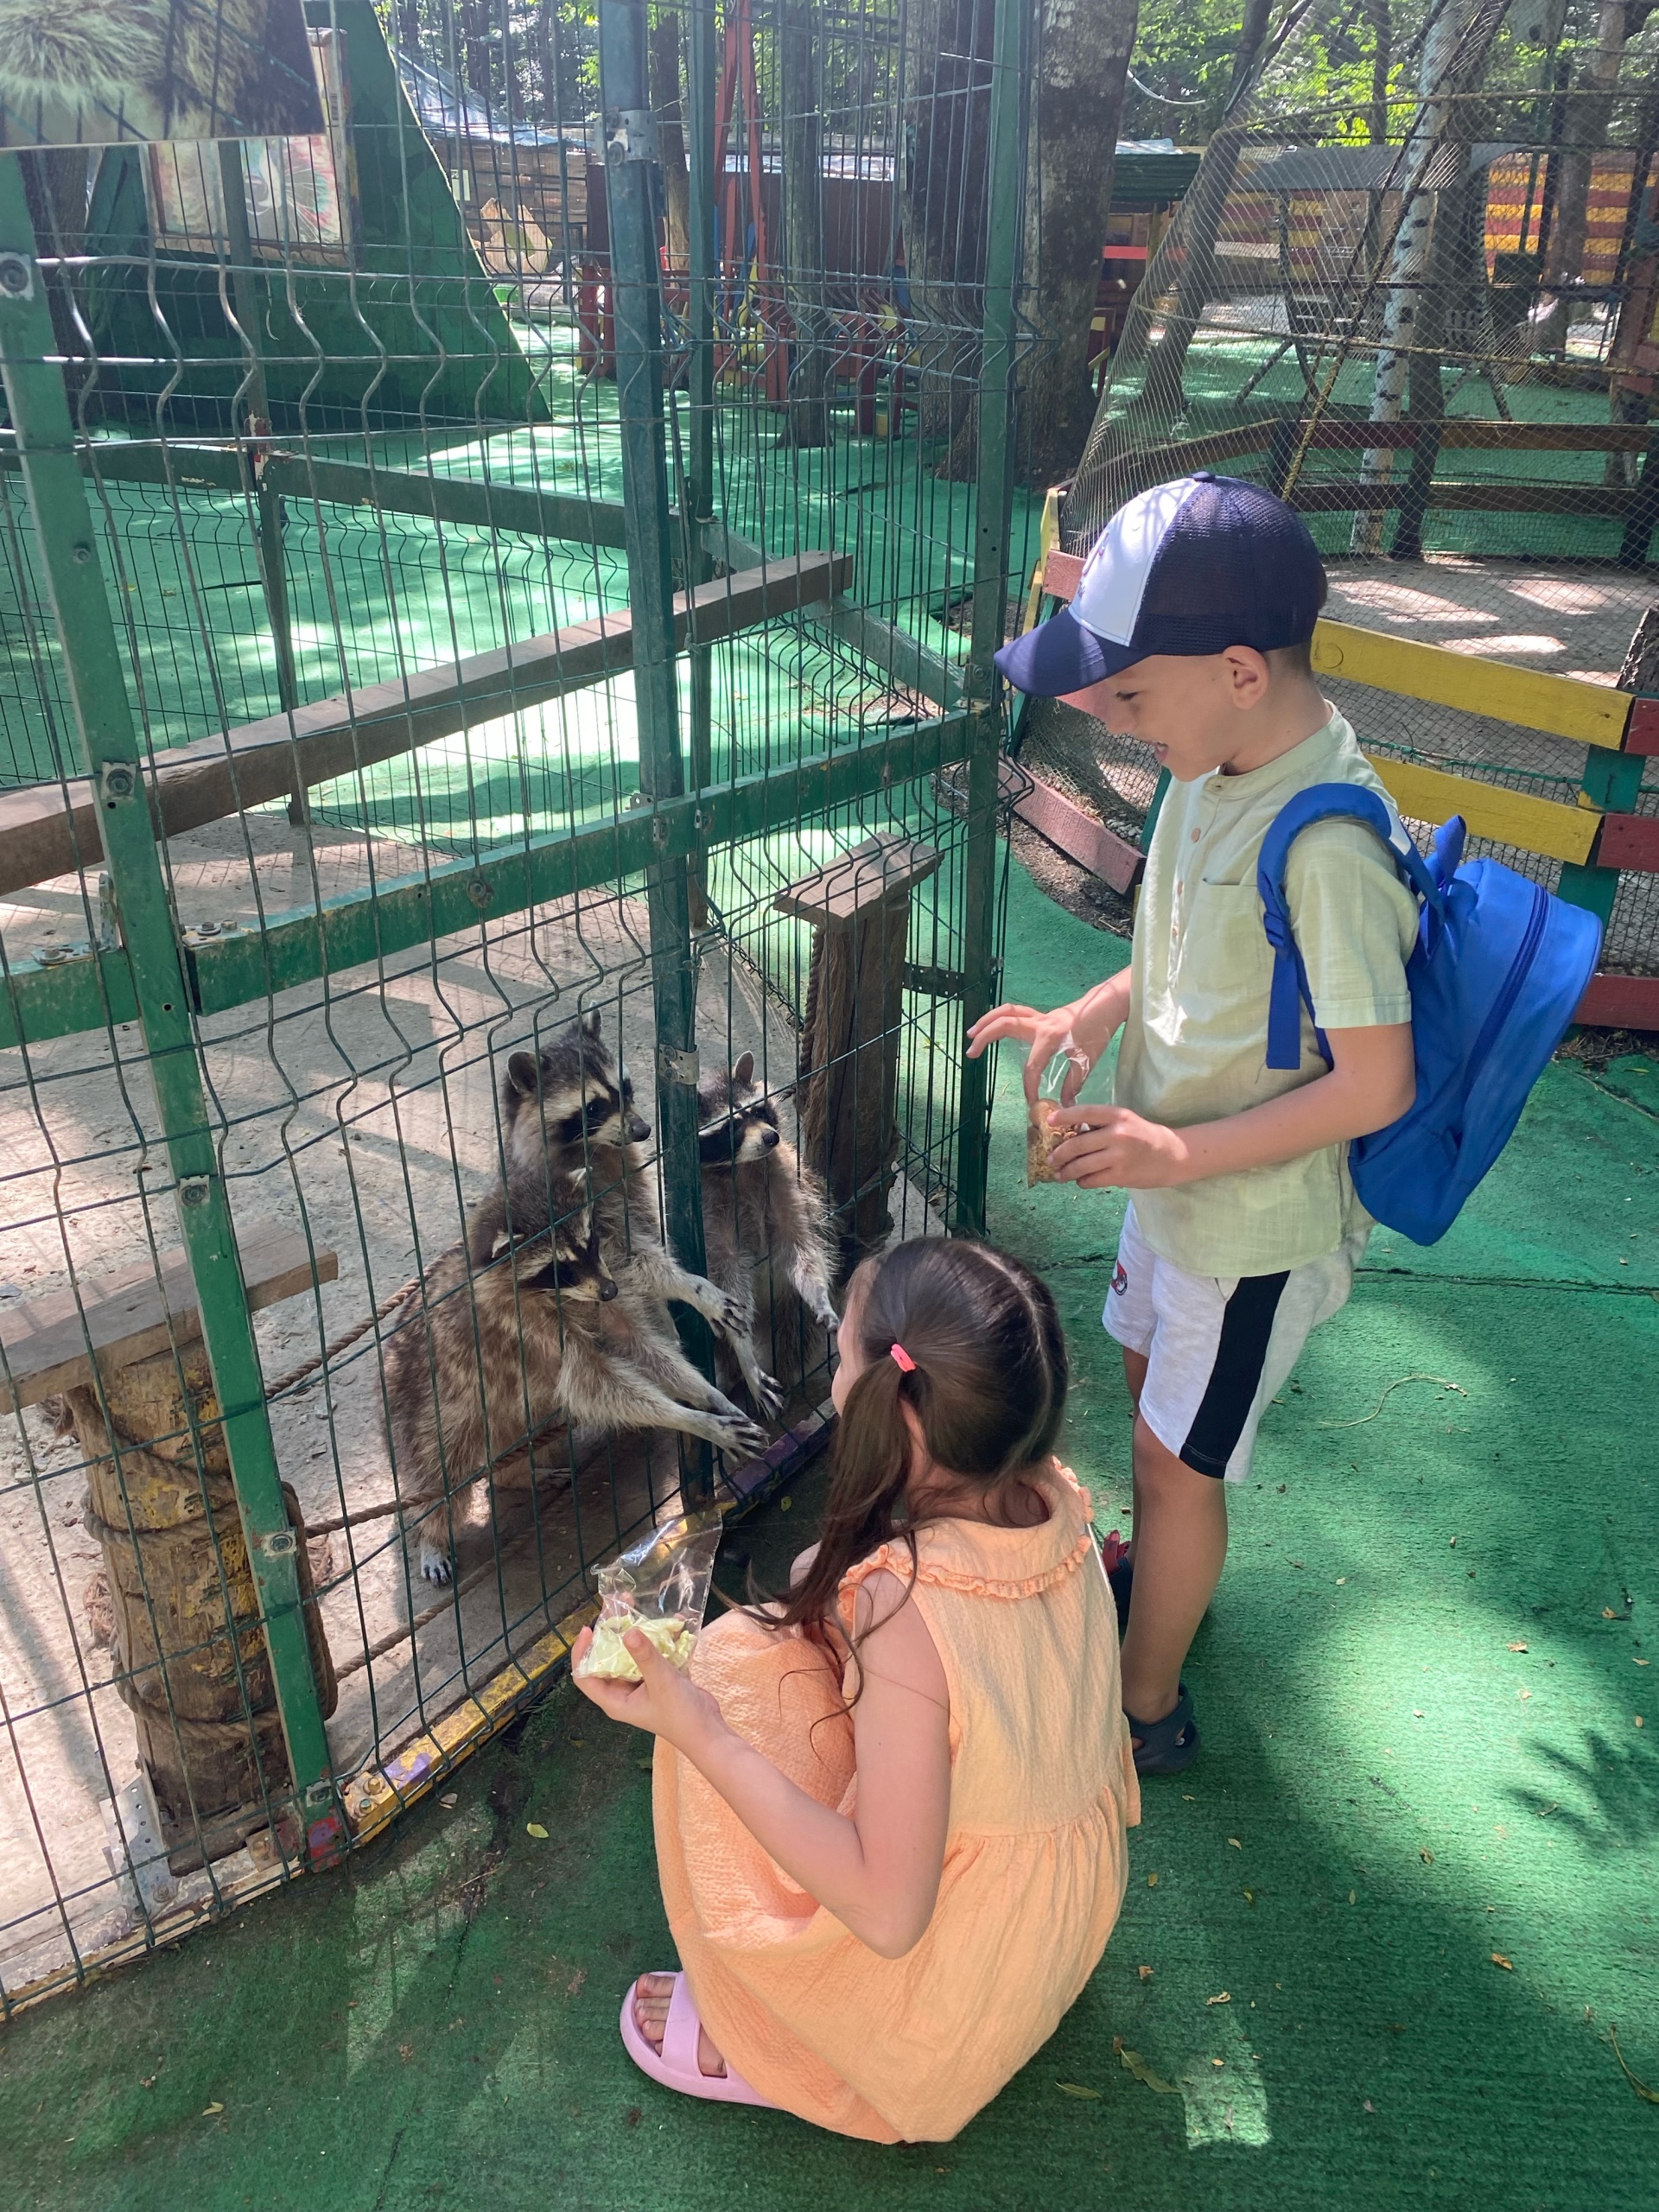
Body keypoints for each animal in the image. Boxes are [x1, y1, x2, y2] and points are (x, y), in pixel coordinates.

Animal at [391, 1185, 774, 1583]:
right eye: (559, 1266)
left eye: (589, 1243)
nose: (609, 1289)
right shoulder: (531, 1327)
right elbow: (594, 1384)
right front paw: (694, 1420)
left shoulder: (606, 1296)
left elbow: (645, 1351)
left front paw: (707, 1393)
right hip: (429, 1411)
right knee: (440, 1475)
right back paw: (433, 1536)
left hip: (516, 1414)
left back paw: (516, 1474)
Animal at [480, 1008, 787, 1415]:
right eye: (593, 1107)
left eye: (624, 1088)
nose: (643, 1130)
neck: (595, 1148)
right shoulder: (573, 1206)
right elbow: (627, 1255)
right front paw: (692, 1287)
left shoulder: (632, 1178)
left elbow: (651, 1234)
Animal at [694, 1052, 836, 1397]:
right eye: (731, 1126)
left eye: (758, 1110)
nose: (771, 1137)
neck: (742, 1168)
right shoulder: (708, 1204)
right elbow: (727, 1272)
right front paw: (743, 1350)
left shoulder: (785, 1177)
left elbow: (798, 1243)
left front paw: (819, 1296)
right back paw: (734, 1372)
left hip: (786, 1307)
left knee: (794, 1332)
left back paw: (790, 1371)